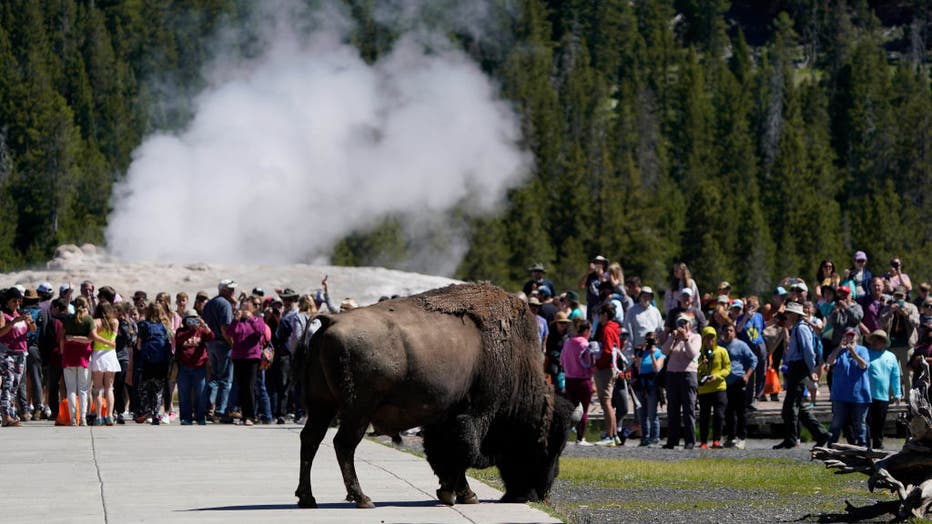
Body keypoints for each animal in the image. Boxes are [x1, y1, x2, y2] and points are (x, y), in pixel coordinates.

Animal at [294, 282, 576, 508]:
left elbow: (443, 454)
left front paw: (452, 492)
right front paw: (462, 494)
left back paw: (307, 498)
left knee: (311, 440)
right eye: (548, 448)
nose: (539, 493)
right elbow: (464, 453)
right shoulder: (477, 412)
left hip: (322, 406)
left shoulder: (442, 418)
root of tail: (332, 320)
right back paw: (362, 498)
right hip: (357, 411)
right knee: (343, 444)